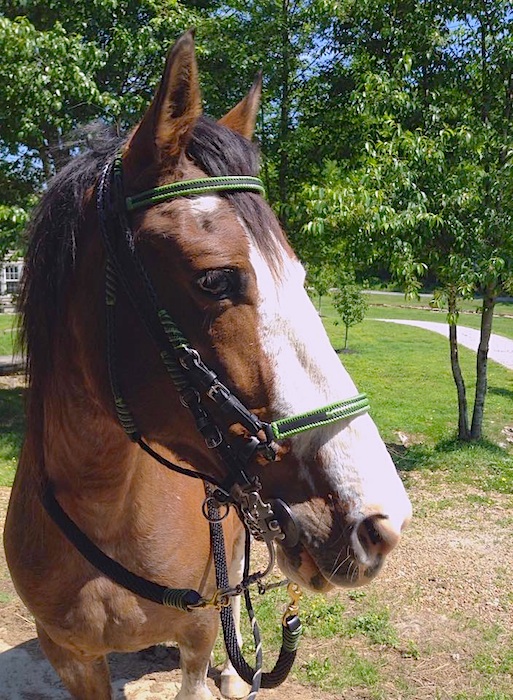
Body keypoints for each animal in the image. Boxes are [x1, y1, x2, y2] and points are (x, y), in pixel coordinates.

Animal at [4, 30, 410, 696]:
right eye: (216, 280)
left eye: (300, 276)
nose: (381, 521)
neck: (107, 509)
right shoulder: (70, 657)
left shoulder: (195, 638)